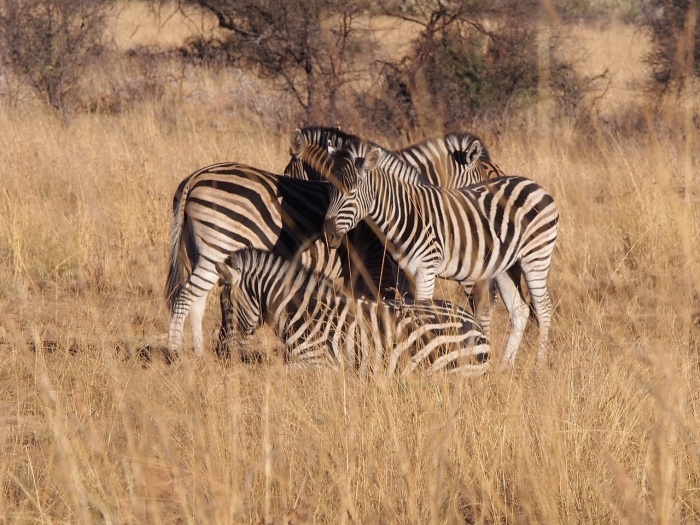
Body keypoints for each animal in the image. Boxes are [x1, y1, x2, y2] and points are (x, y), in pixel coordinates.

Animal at [165, 160, 344, 356]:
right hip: (218, 248)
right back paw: (174, 352)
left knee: (197, 300)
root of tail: (195, 177)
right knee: (185, 296)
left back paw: (199, 354)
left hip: (193, 250)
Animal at [322, 141, 556, 366]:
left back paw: (540, 364)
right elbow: (406, 311)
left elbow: (422, 312)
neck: (405, 214)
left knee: (543, 309)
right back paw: (505, 367)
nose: (328, 234)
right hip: (507, 266)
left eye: (351, 193)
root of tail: (533, 184)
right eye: (330, 190)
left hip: (536, 256)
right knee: (520, 311)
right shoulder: (402, 274)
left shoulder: (426, 268)